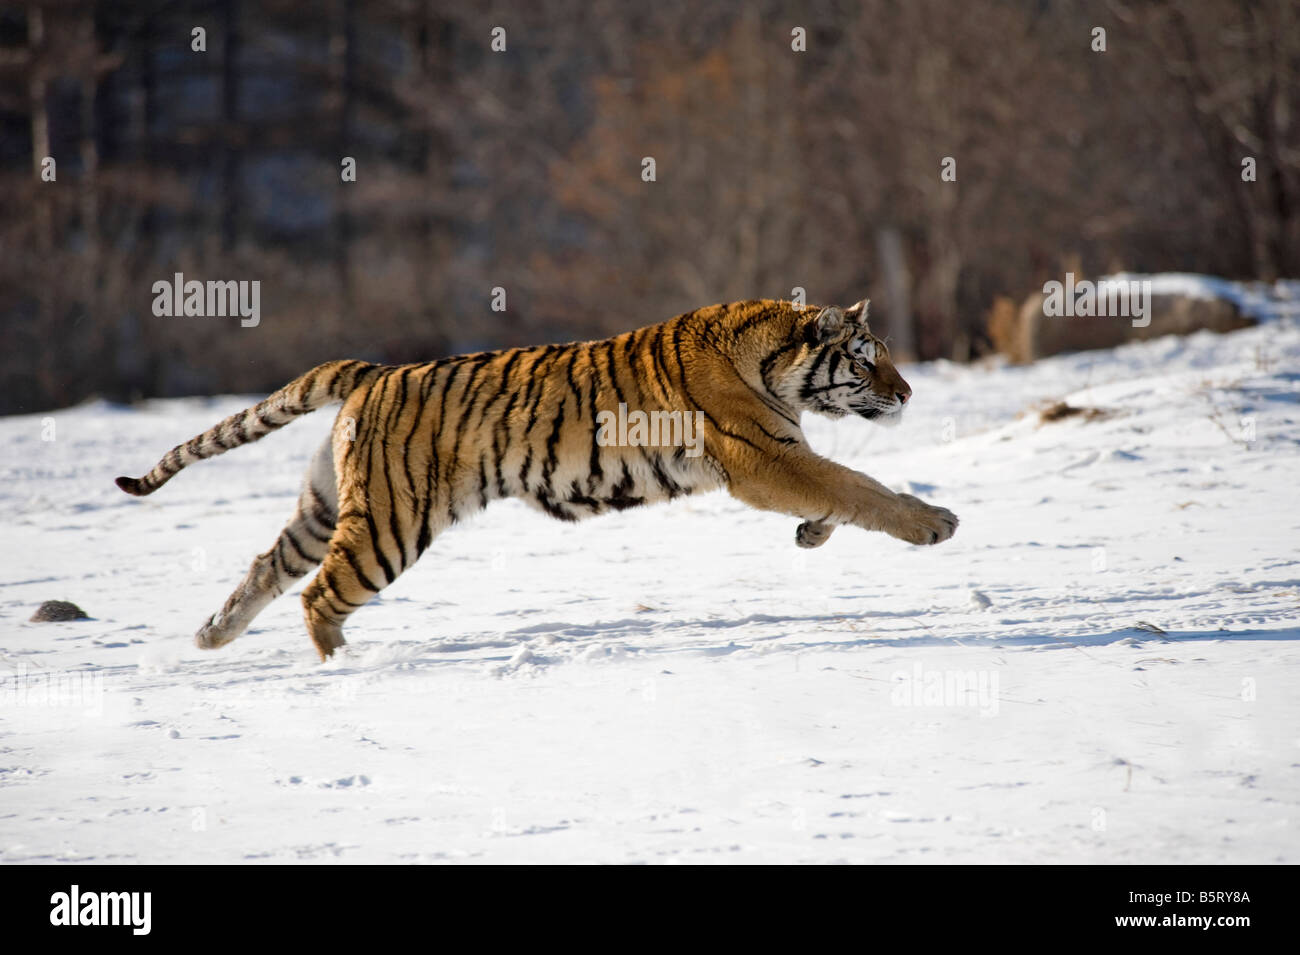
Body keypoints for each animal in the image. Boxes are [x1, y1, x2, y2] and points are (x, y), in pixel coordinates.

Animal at [116, 297, 961, 657]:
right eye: (867, 360)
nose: (909, 393)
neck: (776, 360)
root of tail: (374, 372)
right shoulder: (763, 457)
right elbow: (855, 483)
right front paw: (935, 523)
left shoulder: (782, 453)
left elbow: (840, 489)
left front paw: (812, 535)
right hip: (390, 523)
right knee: (321, 592)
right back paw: (340, 664)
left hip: (330, 506)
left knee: (269, 564)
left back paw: (212, 634)